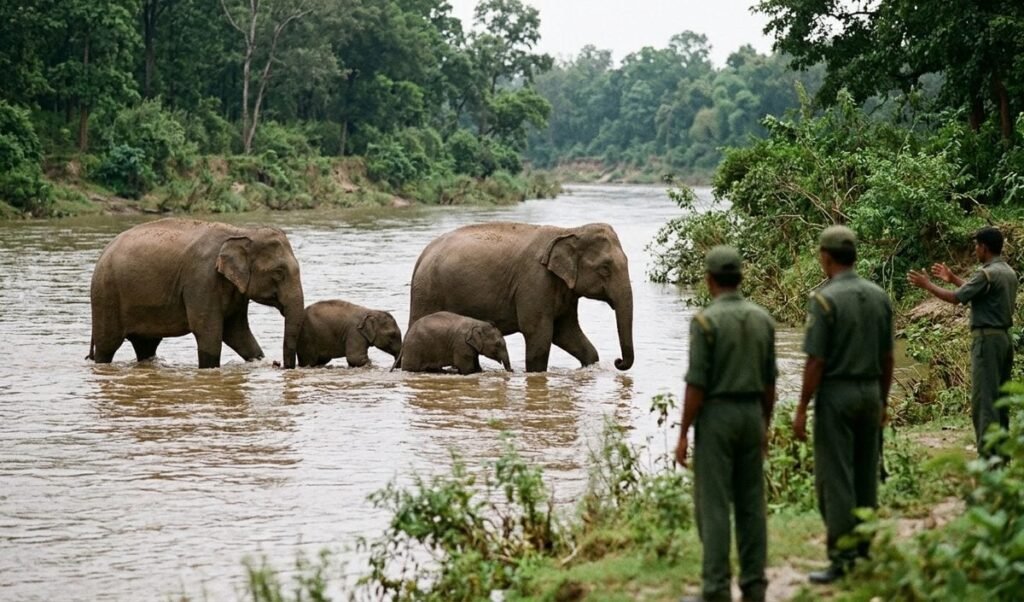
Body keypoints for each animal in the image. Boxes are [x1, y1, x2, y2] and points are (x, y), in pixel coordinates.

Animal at [87, 218, 305, 368]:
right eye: (279, 273)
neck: (240, 232)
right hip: (106, 294)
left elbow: (238, 333)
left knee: (146, 345)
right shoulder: (201, 279)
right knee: (107, 345)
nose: (280, 365)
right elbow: (208, 331)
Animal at [408, 222, 633, 372]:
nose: (618, 361)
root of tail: (422, 255)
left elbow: (566, 333)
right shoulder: (534, 281)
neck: (569, 231)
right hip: (428, 291)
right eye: (605, 269)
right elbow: (539, 335)